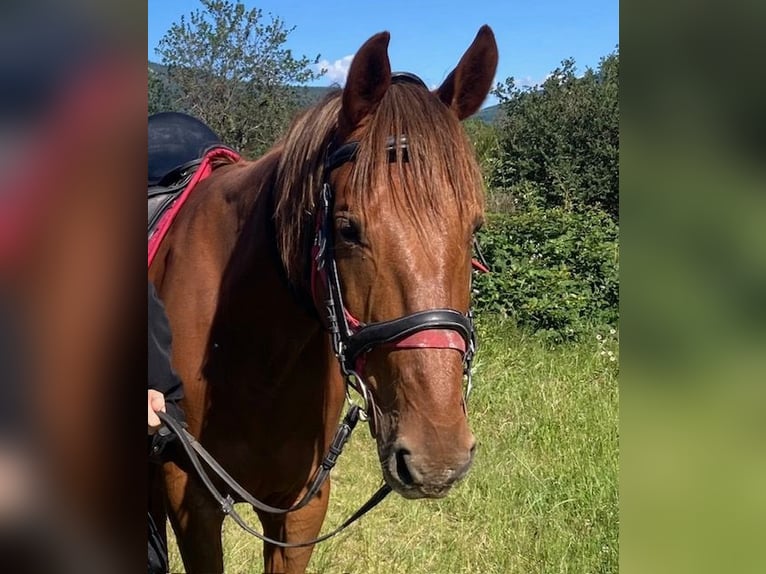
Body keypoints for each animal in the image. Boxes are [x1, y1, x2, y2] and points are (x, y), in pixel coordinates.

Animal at [152, 27, 498, 574]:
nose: (438, 454)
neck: (256, 353)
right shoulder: (190, 497)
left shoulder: (301, 506)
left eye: (475, 229)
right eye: (347, 229)